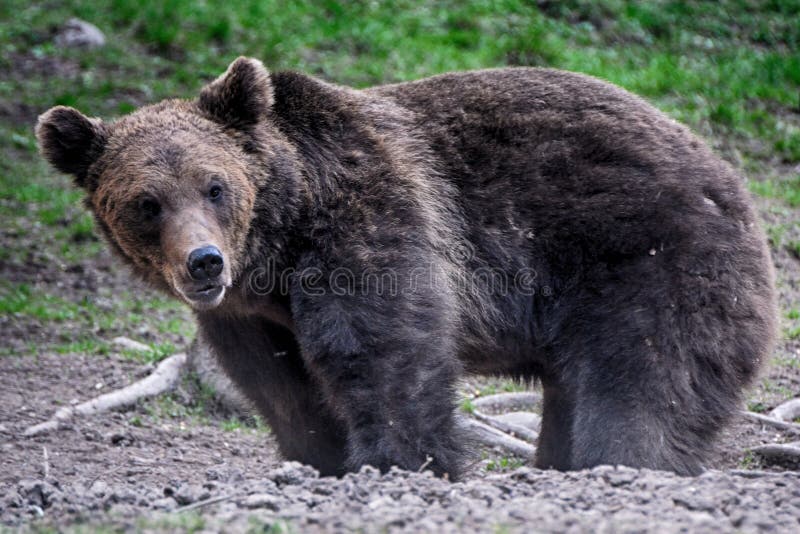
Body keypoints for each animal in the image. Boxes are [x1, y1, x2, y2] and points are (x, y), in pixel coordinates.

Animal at [36, 56, 776, 480]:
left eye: (214, 186)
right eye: (146, 203)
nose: (203, 261)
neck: (280, 243)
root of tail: (728, 175)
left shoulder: (368, 220)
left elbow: (385, 348)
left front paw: (400, 461)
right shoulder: (249, 314)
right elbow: (280, 386)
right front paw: (320, 459)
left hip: (649, 256)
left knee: (645, 376)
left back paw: (621, 462)